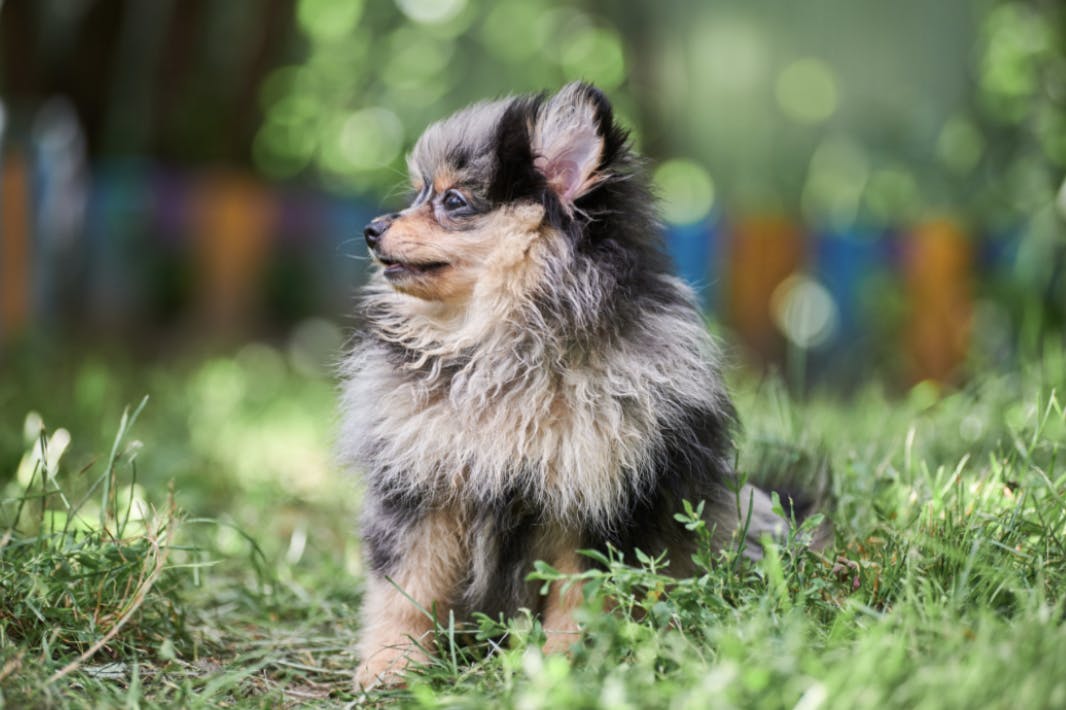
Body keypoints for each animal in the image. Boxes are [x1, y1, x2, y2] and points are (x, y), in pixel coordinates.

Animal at [341, 83, 822, 686]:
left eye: (453, 201)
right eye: (417, 193)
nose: (371, 229)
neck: (506, 347)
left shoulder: (594, 501)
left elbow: (579, 597)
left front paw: (568, 665)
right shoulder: (422, 487)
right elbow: (405, 589)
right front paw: (390, 666)